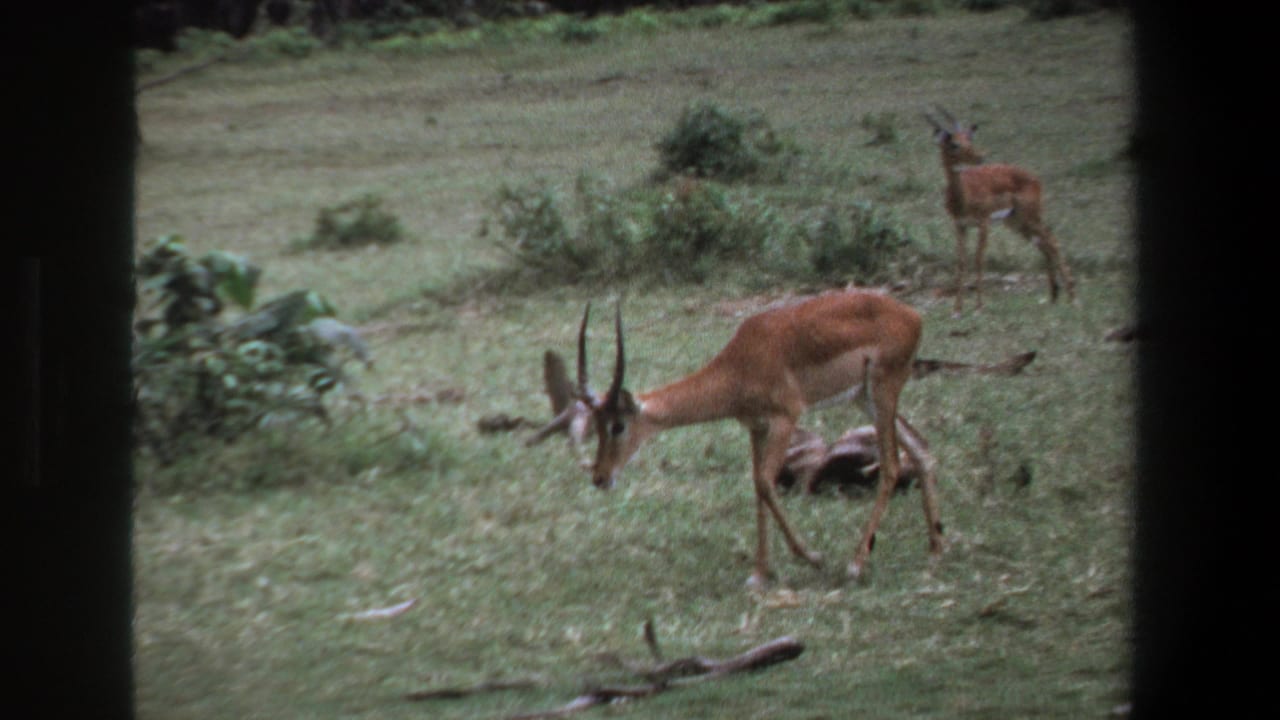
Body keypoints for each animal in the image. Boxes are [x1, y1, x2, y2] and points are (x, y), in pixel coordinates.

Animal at [558, 291, 942, 587]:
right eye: (596, 424)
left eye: (617, 426)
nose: (600, 477)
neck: (739, 366)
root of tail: (913, 315)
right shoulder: (756, 428)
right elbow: (757, 487)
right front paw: (760, 574)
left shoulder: (785, 418)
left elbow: (765, 483)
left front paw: (812, 557)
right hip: (865, 398)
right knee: (922, 449)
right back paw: (937, 548)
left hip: (882, 390)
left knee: (892, 465)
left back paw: (856, 564)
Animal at [925, 106, 1076, 313]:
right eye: (954, 144)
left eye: (969, 139)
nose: (980, 156)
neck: (964, 197)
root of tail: (1035, 178)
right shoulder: (960, 225)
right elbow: (961, 262)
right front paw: (957, 309)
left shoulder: (983, 223)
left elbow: (979, 259)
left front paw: (979, 306)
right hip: (1016, 222)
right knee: (1043, 243)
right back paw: (1054, 297)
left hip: (1030, 217)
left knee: (1052, 241)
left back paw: (1072, 297)